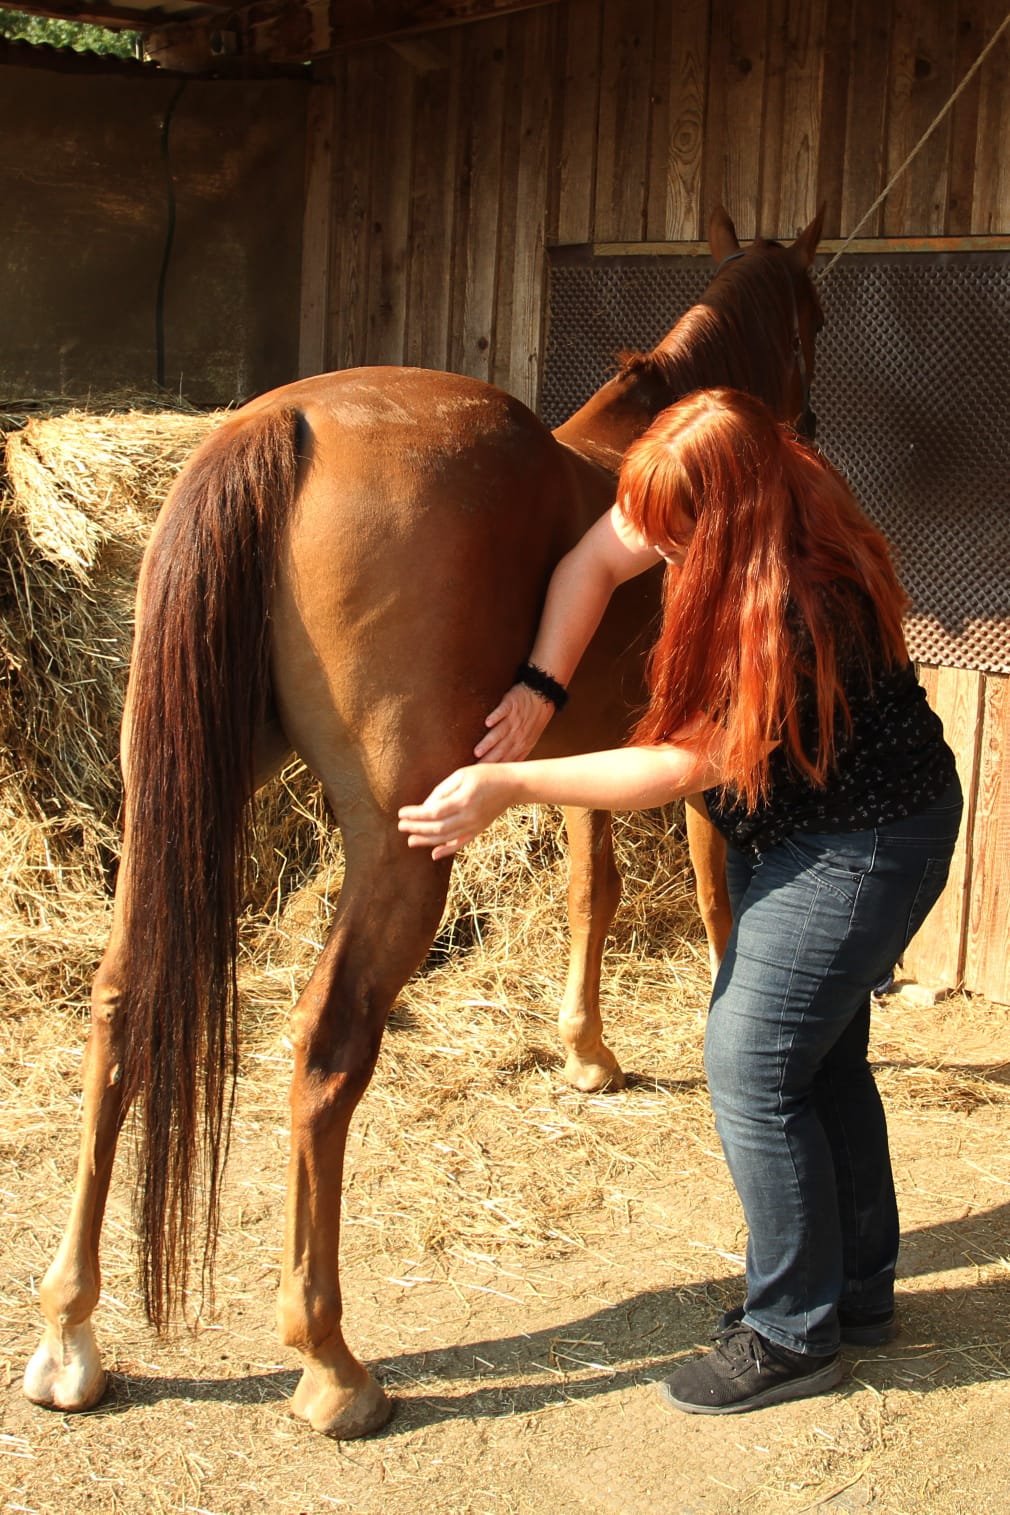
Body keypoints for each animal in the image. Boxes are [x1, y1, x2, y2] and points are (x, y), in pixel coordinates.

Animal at [25, 207, 823, 1436]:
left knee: (121, 1006)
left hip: (169, 815)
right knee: (324, 1047)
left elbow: (590, 890)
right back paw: (330, 1362)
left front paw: (586, 1053)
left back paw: (70, 1334)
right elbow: (713, 898)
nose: (813, 424)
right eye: (814, 323)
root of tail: (280, 425)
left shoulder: (575, 757)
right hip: (399, 859)